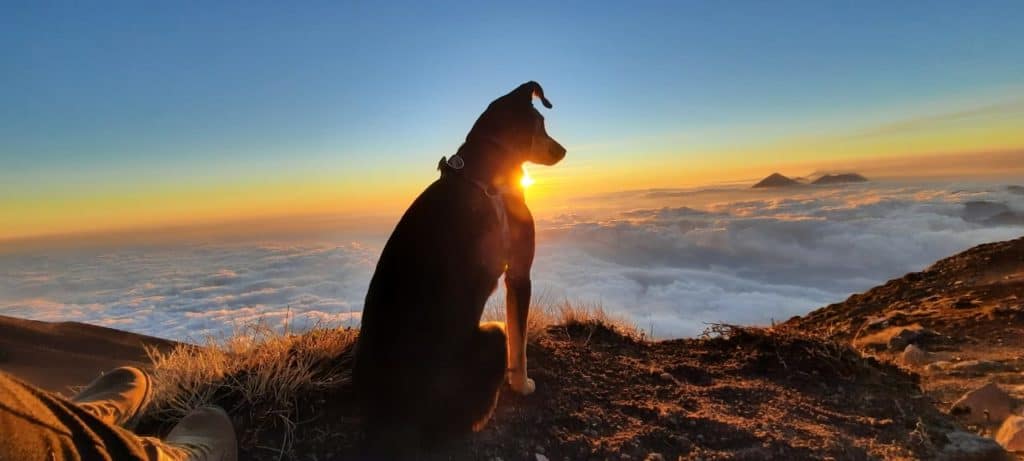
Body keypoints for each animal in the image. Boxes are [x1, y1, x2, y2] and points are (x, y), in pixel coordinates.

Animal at [354, 80, 569, 452]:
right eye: (541, 125)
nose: (563, 150)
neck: (486, 168)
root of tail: (394, 413)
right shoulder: (519, 275)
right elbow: (519, 344)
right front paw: (522, 385)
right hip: (491, 334)